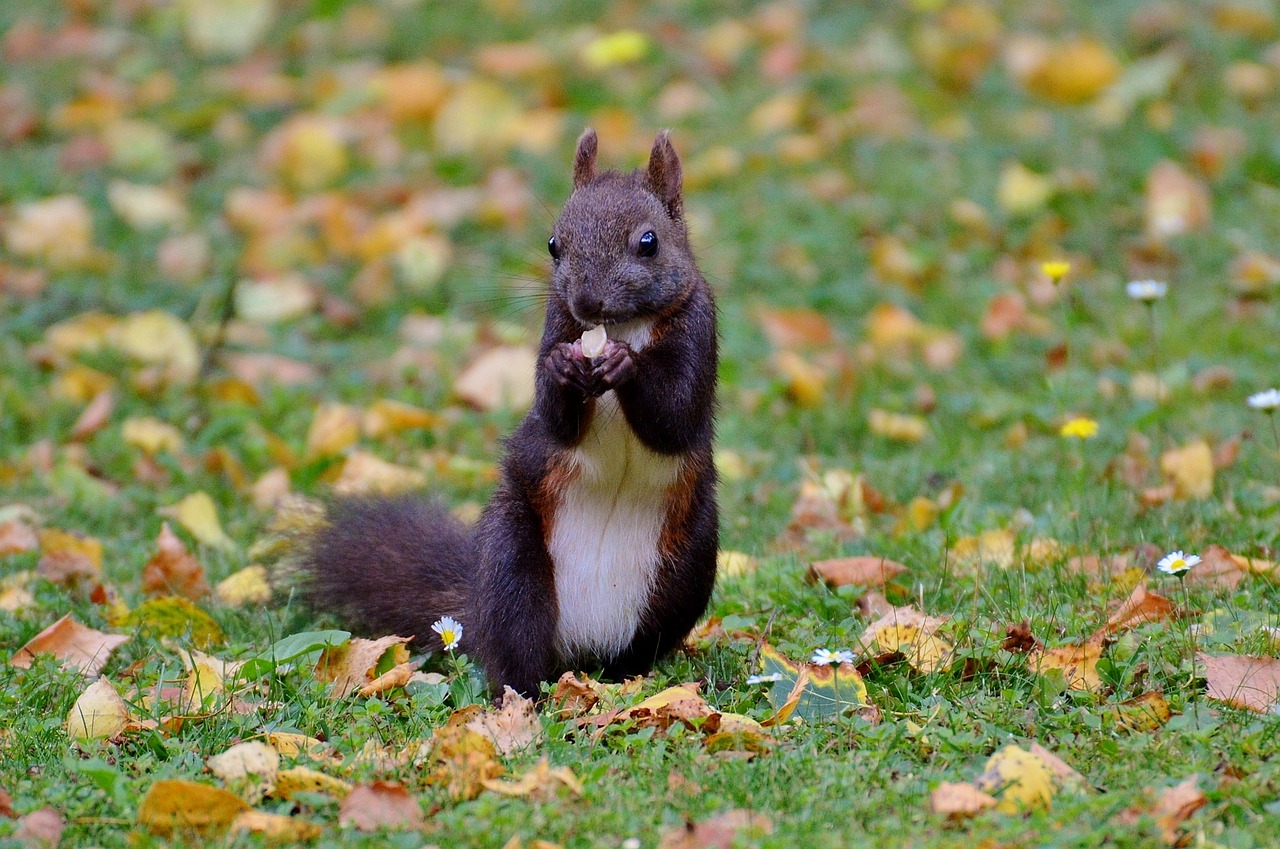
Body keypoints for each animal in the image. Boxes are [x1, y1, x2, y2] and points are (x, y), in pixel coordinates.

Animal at [302, 126, 721, 696]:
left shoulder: (700, 328)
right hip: (513, 556)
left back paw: (624, 679)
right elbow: (554, 421)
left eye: (649, 242)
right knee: (516, 644)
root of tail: (585, 645)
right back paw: (521, 696)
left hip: (688, 564)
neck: (623, 327)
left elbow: (676, 418)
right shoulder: (556, 326)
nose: (587, 302)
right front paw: (563, 371)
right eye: (553, 245)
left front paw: (625, 366)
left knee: (642, 642)